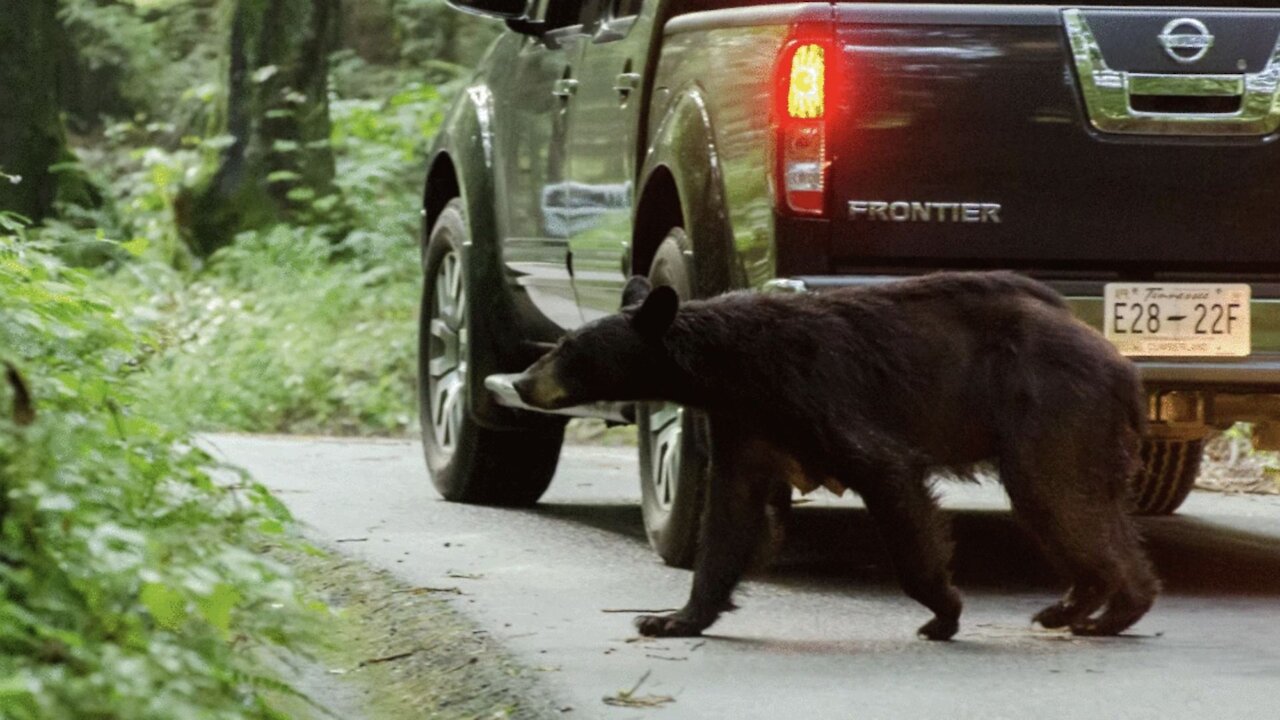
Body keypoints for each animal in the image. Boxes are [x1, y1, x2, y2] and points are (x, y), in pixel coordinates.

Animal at [512, 270, 1162, 638]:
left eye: (566, 348)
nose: (520, 381)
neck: (730, 367)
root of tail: (1122, 366)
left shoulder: (816, 393)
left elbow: (887, 473)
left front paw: (943, 611)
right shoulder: (747, 424)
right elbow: (730, 515)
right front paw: (673, 617)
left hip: (1051, 408)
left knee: (1058, 496)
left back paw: (1112, 611)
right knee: (1070, 508)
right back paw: (1074, 608)